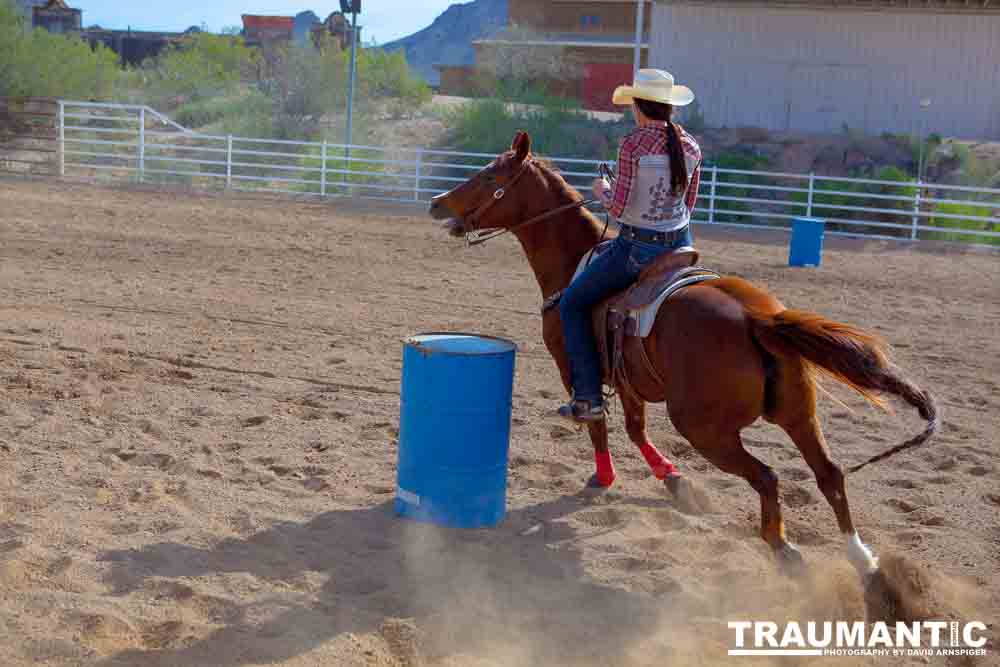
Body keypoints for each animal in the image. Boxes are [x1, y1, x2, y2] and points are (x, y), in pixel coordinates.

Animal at [428, 132, 936, 580]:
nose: (436, 202)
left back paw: (784, 548)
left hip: (704, 428)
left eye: (487, 174)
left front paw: (608, 479)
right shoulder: (627, 380)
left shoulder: (576, 370)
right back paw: (863, 562)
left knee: (768, 476)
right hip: (798, 413)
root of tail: (757, 318)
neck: (574, 263)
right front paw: (674, 481)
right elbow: (634, 429)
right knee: (830, 475)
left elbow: (598, 423)